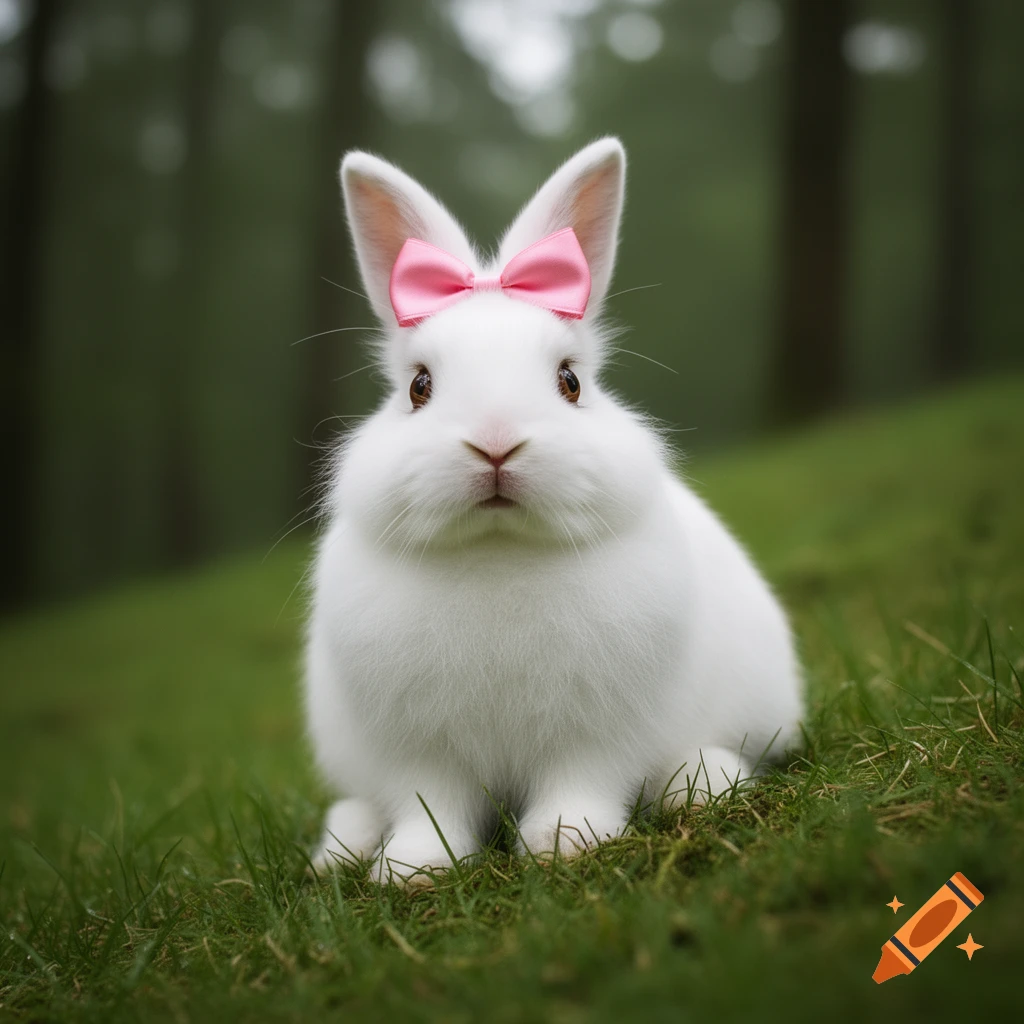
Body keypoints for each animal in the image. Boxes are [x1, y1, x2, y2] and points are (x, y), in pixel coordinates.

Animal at [305, 137, 803, 884]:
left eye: (570, 381)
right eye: (419, 387)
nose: (496, 441)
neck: (498, 549)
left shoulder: (595, 728)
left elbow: (582, 779)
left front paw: (571, 841)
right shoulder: (418, 747)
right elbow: (430, 805)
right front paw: (415, 869)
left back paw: (705, 783)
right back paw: (343, 845)